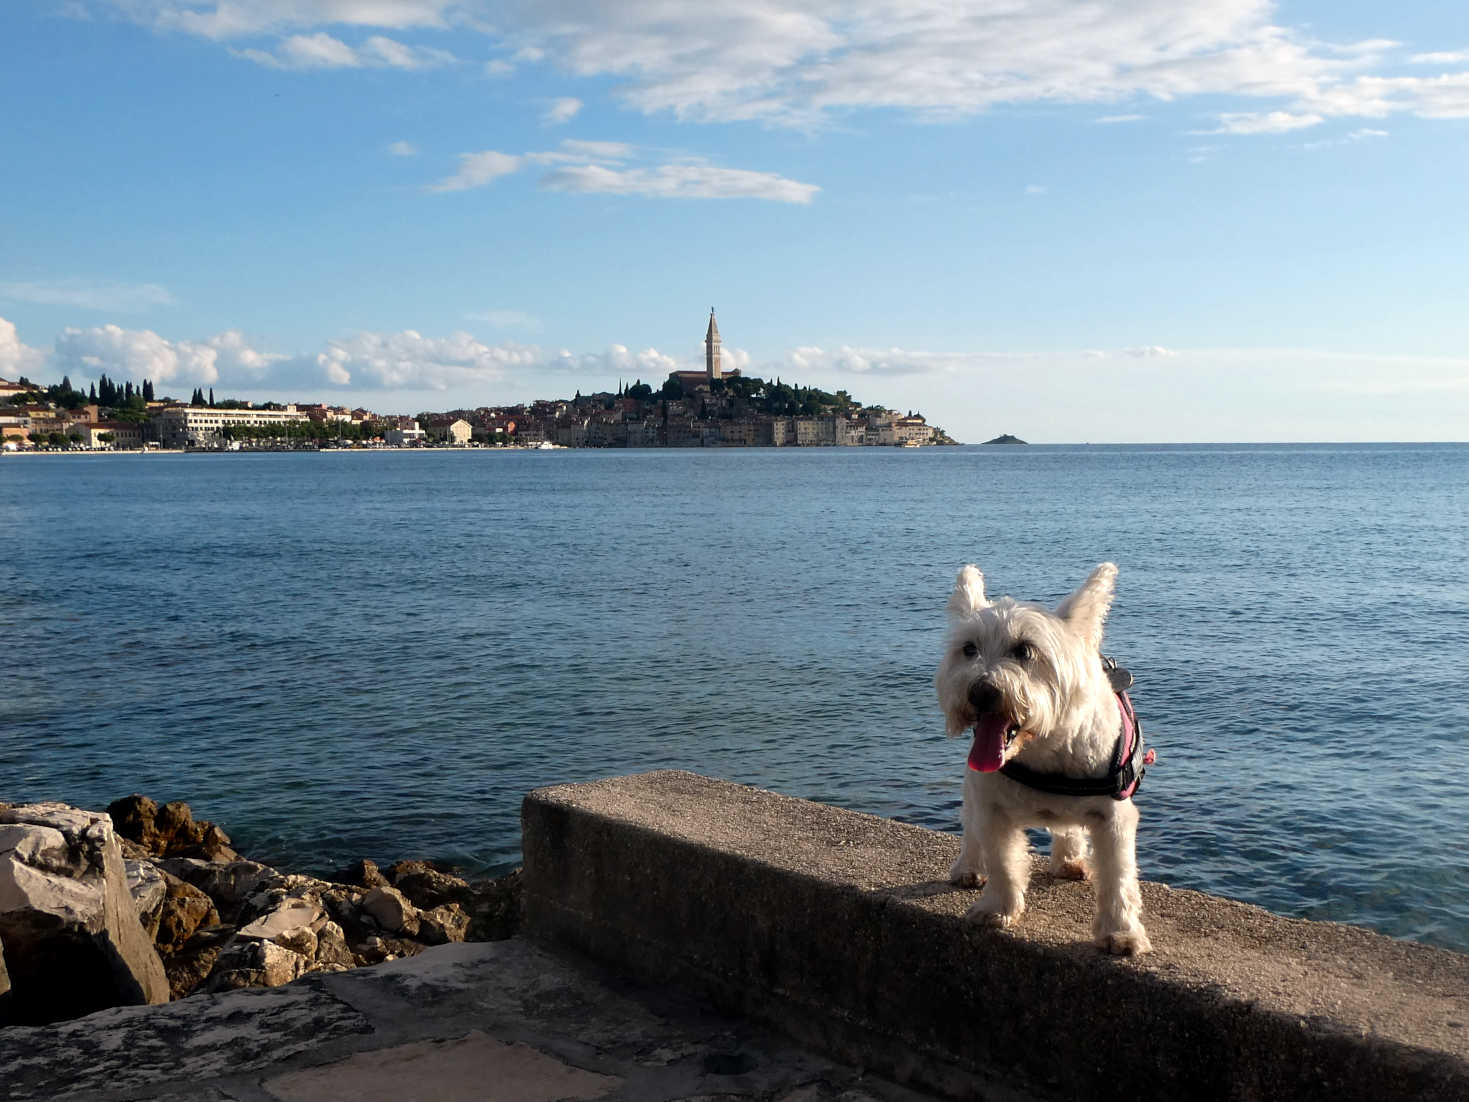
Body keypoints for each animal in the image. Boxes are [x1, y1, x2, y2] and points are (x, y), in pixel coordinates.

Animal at [934, 564, 1151, 952]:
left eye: (1024, 650)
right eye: (968, 648)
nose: (980, 691)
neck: (1044, 750)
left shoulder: (1113, 816)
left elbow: (1118, 875)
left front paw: (1121, 933)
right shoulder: (991, 805)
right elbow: (1002, 860)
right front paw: (996, 909)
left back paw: (1069, 860)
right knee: (971, 824)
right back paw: (968, 867)